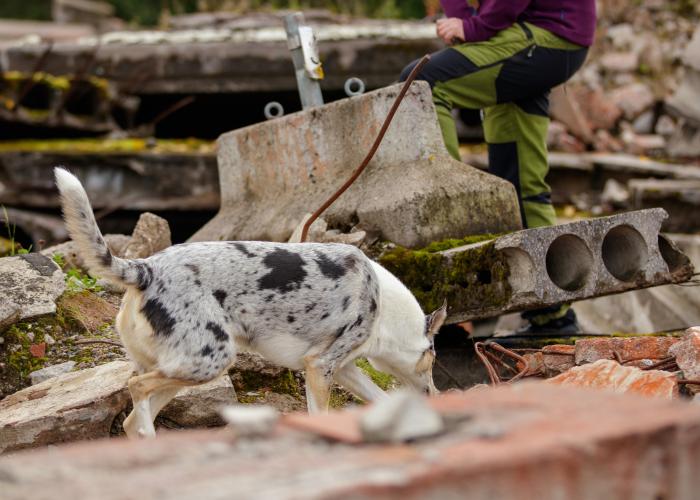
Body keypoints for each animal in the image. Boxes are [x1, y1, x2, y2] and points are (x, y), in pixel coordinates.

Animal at [56, 167, 448, 438]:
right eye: (432, 357)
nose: (436, 393)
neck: (384, 306)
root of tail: (146, 268)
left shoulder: (342, 368)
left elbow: (381, 400)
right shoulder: (321, 367)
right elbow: (320, 416)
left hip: (181, 370)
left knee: (132, 421)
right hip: (208, 360)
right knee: (136, 392)